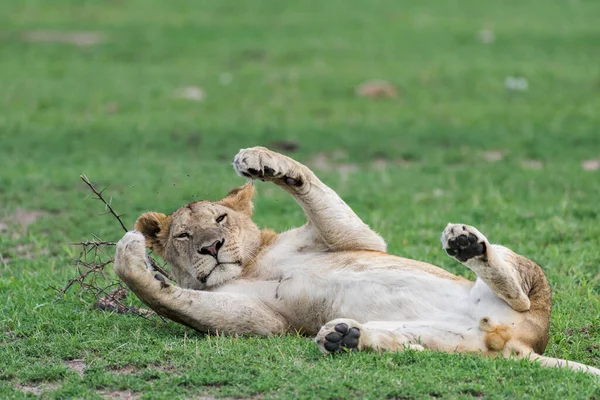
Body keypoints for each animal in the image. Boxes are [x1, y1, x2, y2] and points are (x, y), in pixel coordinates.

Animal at [113, 146, 600, 376]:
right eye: (184, 235)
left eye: (221, 219)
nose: (211, 248)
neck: (251, 263)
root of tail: (520, 343)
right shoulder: (265, 321)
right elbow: (175, 300)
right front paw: (133, 262)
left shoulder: (359, 239)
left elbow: (308, 181)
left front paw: (261, 161)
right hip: (450, 345)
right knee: (419, 347)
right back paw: (345, 337)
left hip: (526, 285)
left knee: (516, 288)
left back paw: (466, 245)